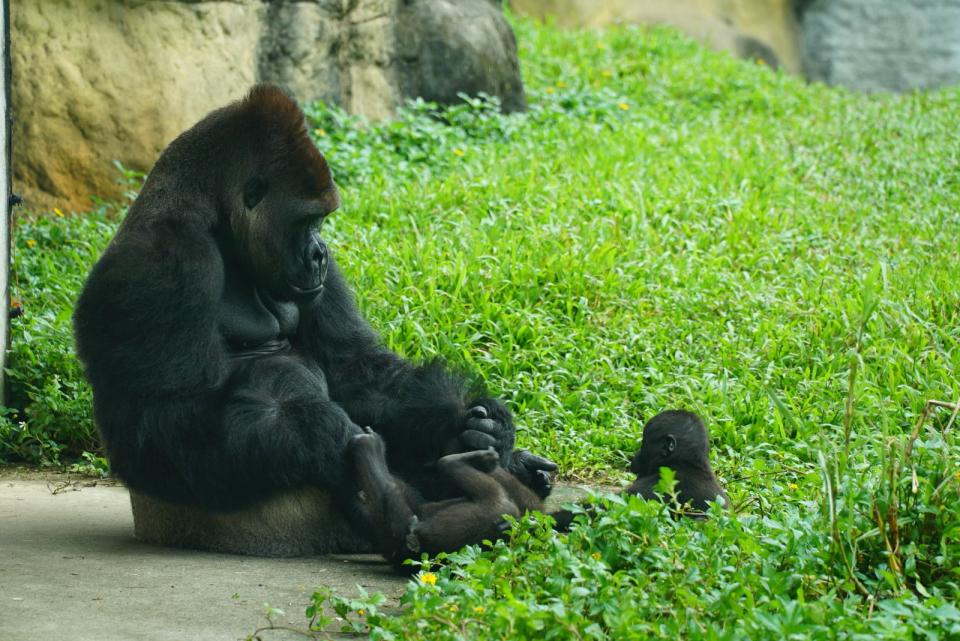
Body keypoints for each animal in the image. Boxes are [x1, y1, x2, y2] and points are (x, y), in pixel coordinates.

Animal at [73, 82, 556, 548]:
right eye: (306, 221)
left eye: (322, 222)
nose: (320, 254)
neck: (214, 217)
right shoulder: (165, 262)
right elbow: (163, 416)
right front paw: (321, 431)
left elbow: (355, 366)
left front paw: (475, 423)